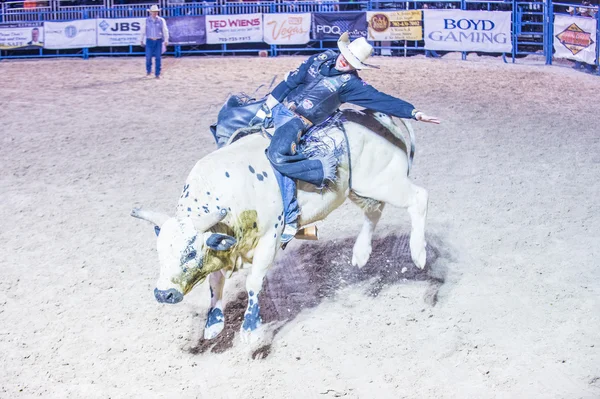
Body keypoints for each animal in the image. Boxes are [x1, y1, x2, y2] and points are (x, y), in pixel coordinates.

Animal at [134, 109, 428, 340]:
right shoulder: (222, 249)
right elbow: (215, 283)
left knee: (418, 198)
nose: (164, 294)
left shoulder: (269, 240)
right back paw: (361, 254)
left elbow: (254, 283)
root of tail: (377, 116)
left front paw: (251, 329)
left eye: (190, 253)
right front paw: (213, 324)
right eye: (160, 253)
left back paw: (418, 253)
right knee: (374, 212)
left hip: (385, 182)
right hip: (358, 188)